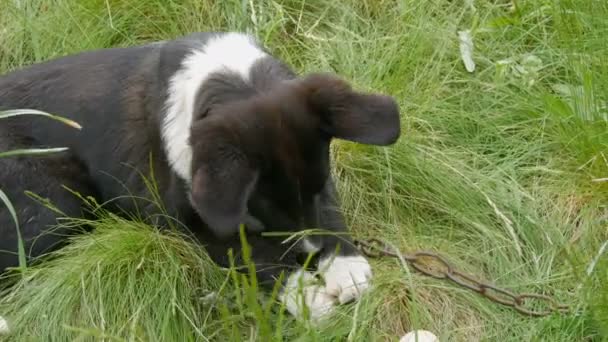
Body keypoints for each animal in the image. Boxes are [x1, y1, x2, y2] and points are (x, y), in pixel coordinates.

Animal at [0, 31, 402, 320]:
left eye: (316, 191)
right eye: (264, 210)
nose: (311, 257)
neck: (226, 77)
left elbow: (330, 210)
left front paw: (345, 265)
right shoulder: (193, 221)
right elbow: (253, 254)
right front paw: (308, 296)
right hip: (54, 203)